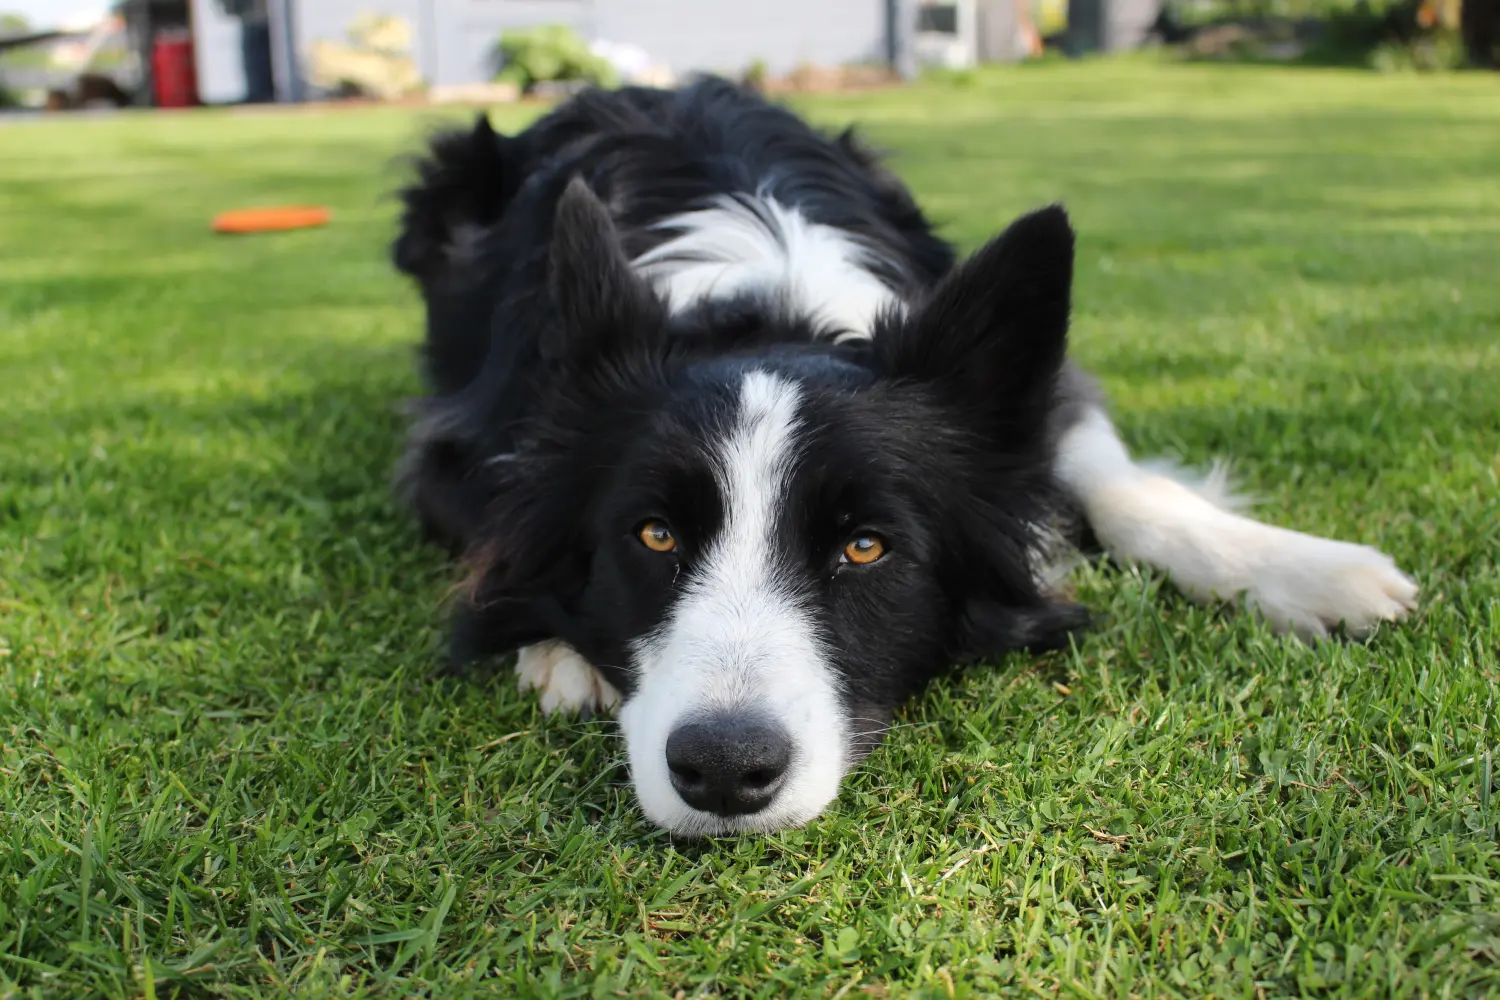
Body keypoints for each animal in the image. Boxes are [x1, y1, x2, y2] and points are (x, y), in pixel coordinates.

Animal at [390, 80, 1416, 839]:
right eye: (653, 536)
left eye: (866, 547)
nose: (723, 771)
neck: (770, 311)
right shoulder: (455, 445)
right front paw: (559, 648)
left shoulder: (1039, 406)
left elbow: (1122, 489)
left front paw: (1309, 569)